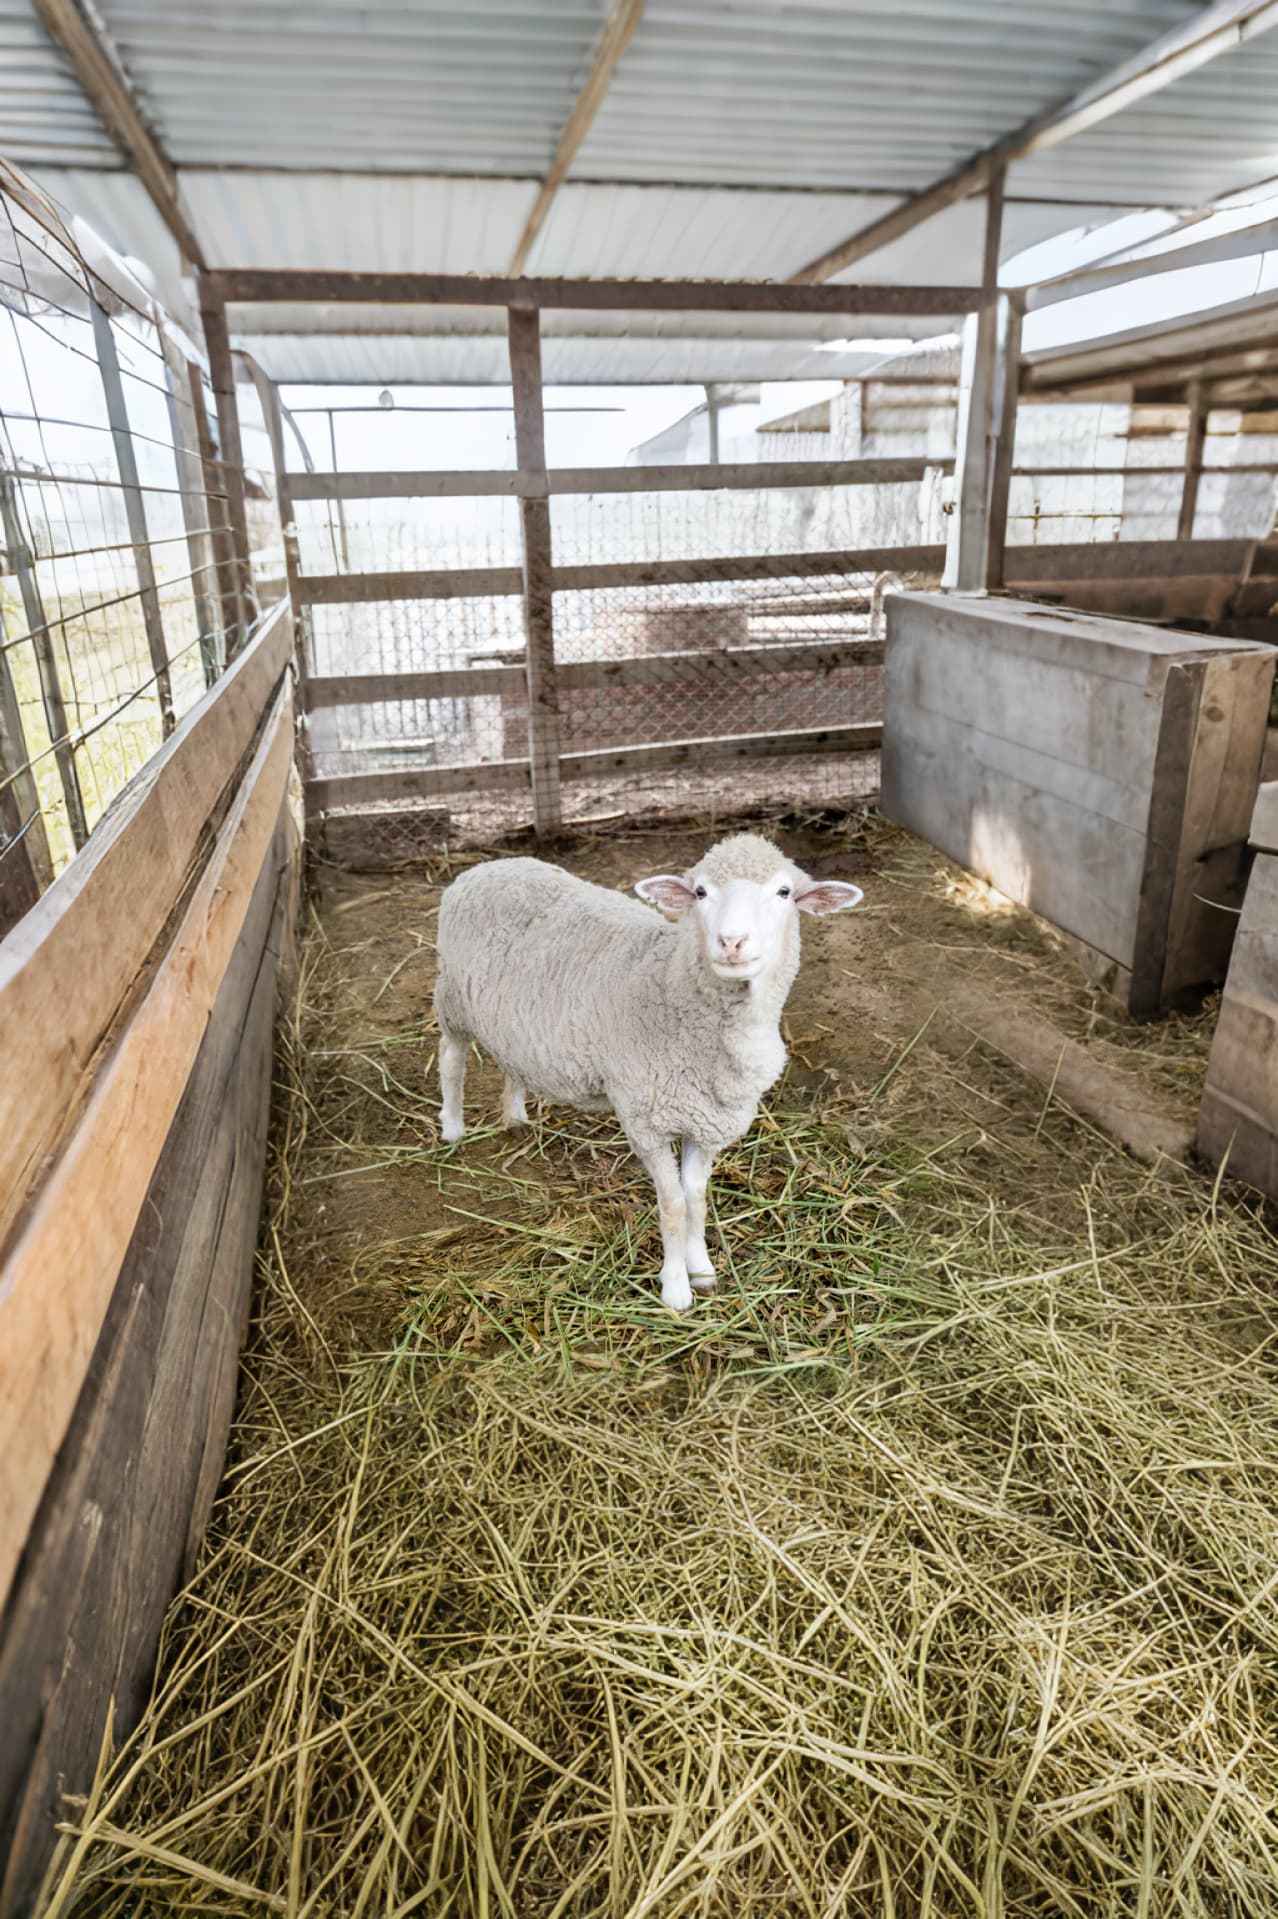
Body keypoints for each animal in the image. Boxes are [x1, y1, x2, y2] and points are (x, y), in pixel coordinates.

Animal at [433, 833, 862, 1310]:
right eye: (700, 892)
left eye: (784, 892)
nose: (732, 941)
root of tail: (488, 866)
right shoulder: (647, 1124)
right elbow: (673, 1205)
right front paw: (675, 1288)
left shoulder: (706, 1125)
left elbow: (696, 1198)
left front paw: (702, 1270)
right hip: (452, 996)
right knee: (451, 1058)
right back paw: (452, 1128)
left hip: (511, 1025)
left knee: (510, 1064)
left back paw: (515, 1119)